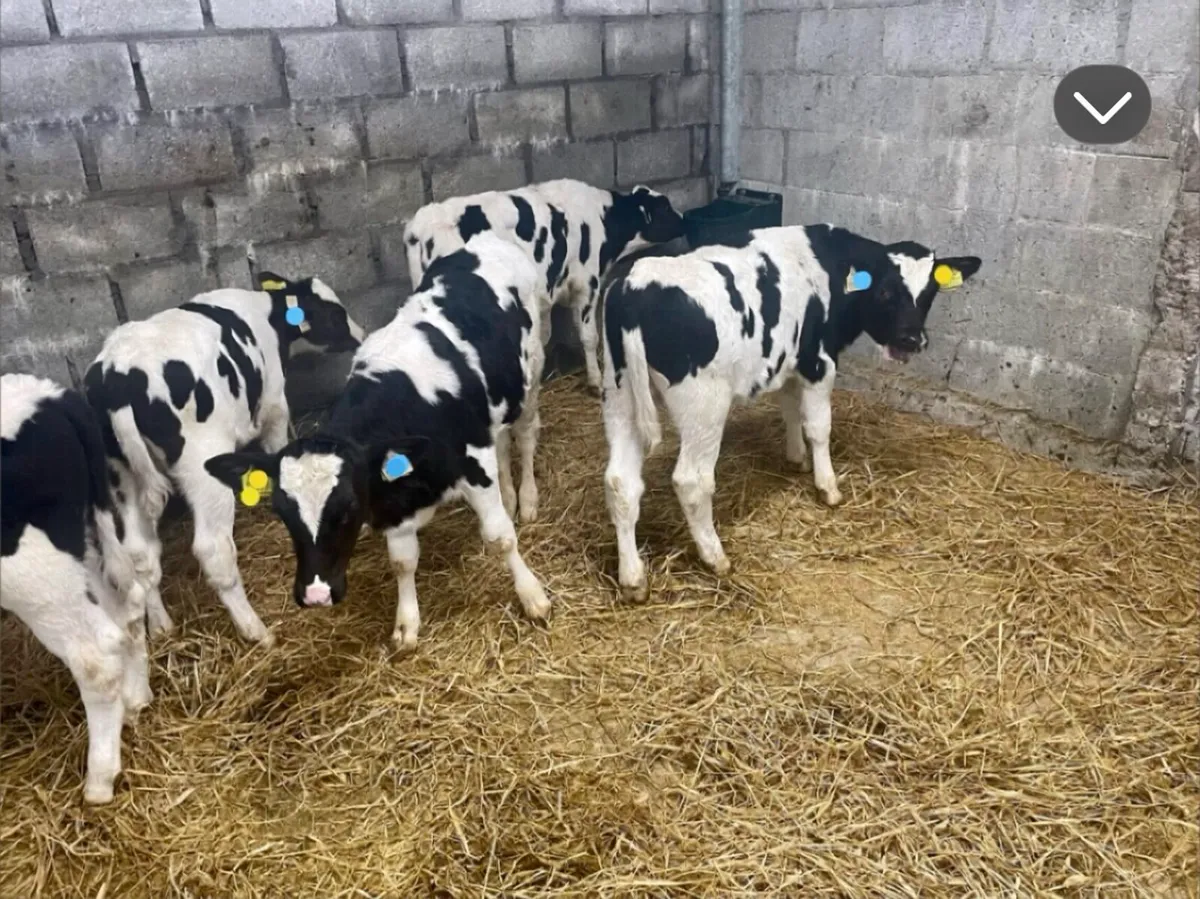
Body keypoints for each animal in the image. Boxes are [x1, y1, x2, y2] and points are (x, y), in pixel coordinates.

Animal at [1, 373, 152, 804]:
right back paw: (135, 702)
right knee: (127, 609)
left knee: (96, 656)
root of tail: (52, 396)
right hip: (85, 550)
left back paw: (99, 779)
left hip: (33, 575)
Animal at [84, 275, 365, 646]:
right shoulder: (275, 407)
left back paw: (160, 625)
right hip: (202, 465)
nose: (361, 334)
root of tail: (117, 375)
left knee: (140, 553)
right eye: (334, 313)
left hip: (122, 476)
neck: (266, 315)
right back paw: (256, 630)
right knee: (212, 550)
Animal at [203, 234, 551, 651]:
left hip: (531, 372)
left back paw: (527, 500)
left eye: (349, 507)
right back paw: (511, 495)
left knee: (526, 436)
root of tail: (486, 240)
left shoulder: (472, 465)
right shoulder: (393, 499)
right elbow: (403, 561)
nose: (315, 595)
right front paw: (406, 624)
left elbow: (500, 538)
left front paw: (532, 595)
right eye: (282, 512)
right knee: (500, 442)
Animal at [403, 179, 686, 393]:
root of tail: (423, 223)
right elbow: (588, 336)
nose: (685, 218)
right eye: (665, 207)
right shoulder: (587, 284)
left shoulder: (546, 294)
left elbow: (545, 335)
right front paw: (595, 381)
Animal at [601, 224, 981, 600]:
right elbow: (819, 427)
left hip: (619, 397)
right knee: (691, 481)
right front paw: (828, 487)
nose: (912, 340)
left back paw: (633, 578)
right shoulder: (819, 362)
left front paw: (796, 457)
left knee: (621, 482)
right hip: (704, 405)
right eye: (886, 291)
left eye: (930, 292)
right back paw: (715, 556)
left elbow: (790, 408)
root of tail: (635, 281)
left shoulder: (789, 361)